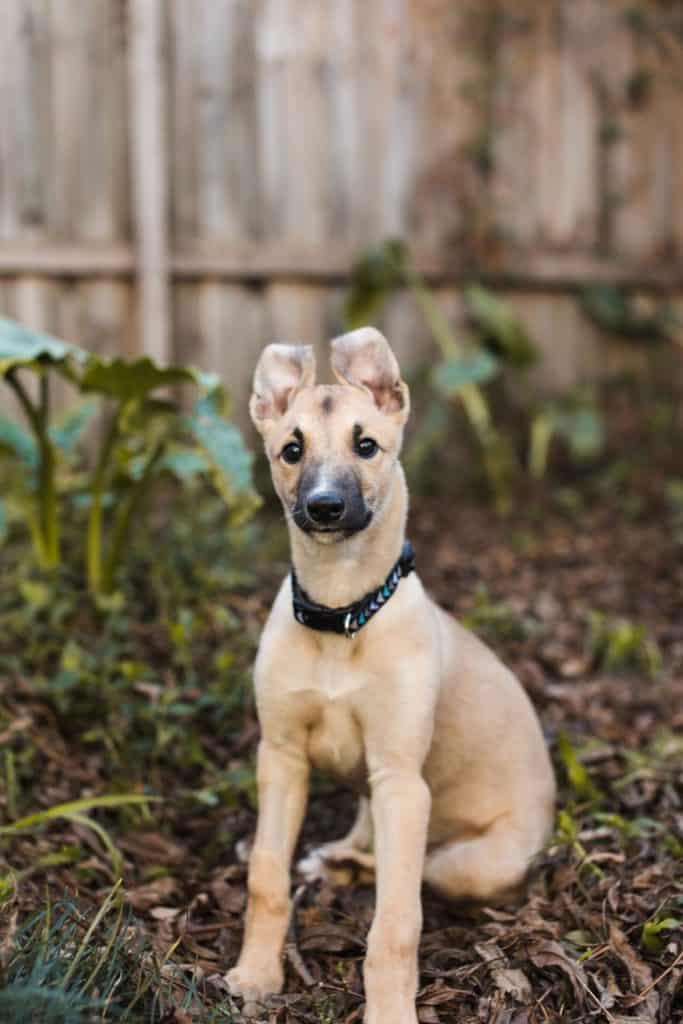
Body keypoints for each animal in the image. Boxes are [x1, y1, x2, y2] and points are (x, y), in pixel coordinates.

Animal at [227, 329, 557, 1024]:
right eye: (291, 449)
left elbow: (397, 921)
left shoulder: (404, 783)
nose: (325, 507)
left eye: (366, 445)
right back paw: (335, 859)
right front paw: (255, 975)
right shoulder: (281, 757)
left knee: (418, 875)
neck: (341, 616)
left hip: (471, 858)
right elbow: (266, 874)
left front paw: (389, 1012)